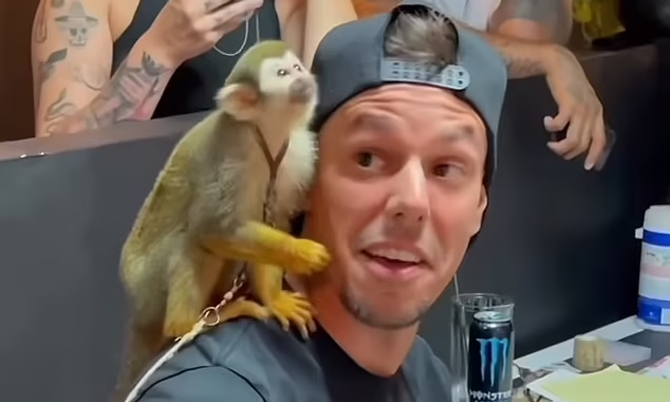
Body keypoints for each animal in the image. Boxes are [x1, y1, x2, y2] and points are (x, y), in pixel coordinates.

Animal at [115, 40, 327, 399]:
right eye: (283, 74)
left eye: (297, 68)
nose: (304, 80)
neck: (264, 132)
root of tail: (140, 310)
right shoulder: (230, 159)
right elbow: (210, 227)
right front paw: (303, 254)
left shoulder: (296, 152)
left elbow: (275, 218)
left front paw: (275, 298)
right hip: (149, 285)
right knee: (192, 240)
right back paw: (186, 324)